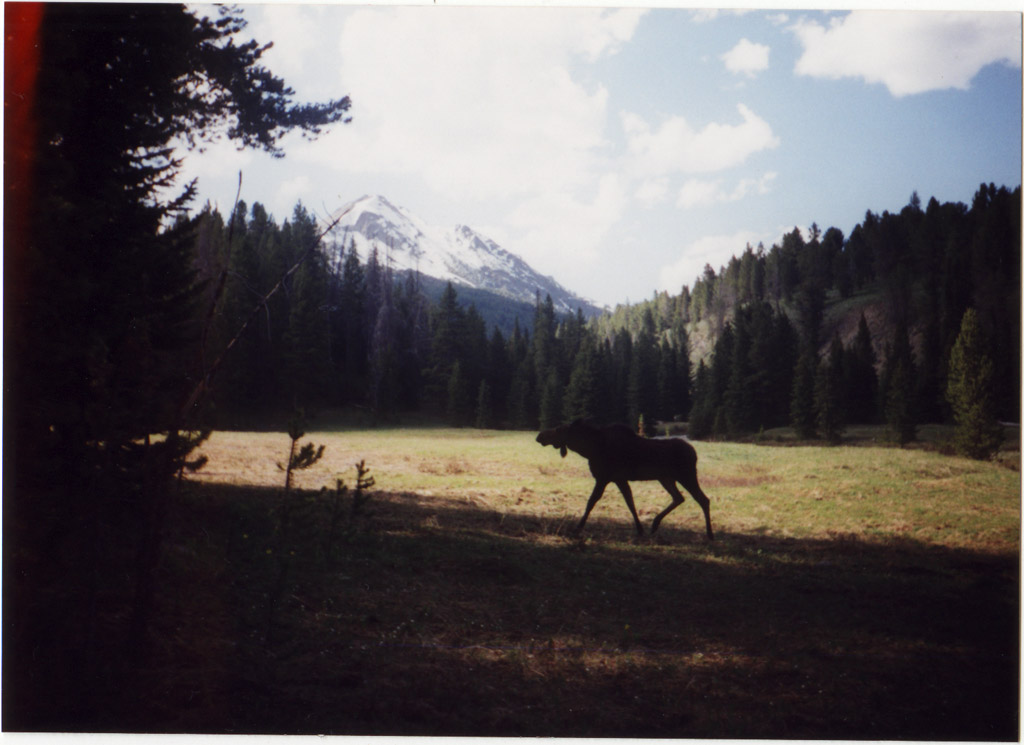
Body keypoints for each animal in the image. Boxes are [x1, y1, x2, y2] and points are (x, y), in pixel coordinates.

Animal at [536, 419, 712, 540]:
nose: (539, 436)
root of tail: (694, 453)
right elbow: (630, 503)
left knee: (703, 499)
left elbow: (591, 502)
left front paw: (577, 528)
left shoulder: (603, 477)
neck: (589, 449)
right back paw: (655, 524)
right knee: (679, 497)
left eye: (558, 429)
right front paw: (640, 530)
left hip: (686, 475)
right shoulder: (619, 479)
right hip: (666, 478)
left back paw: (709, 534)